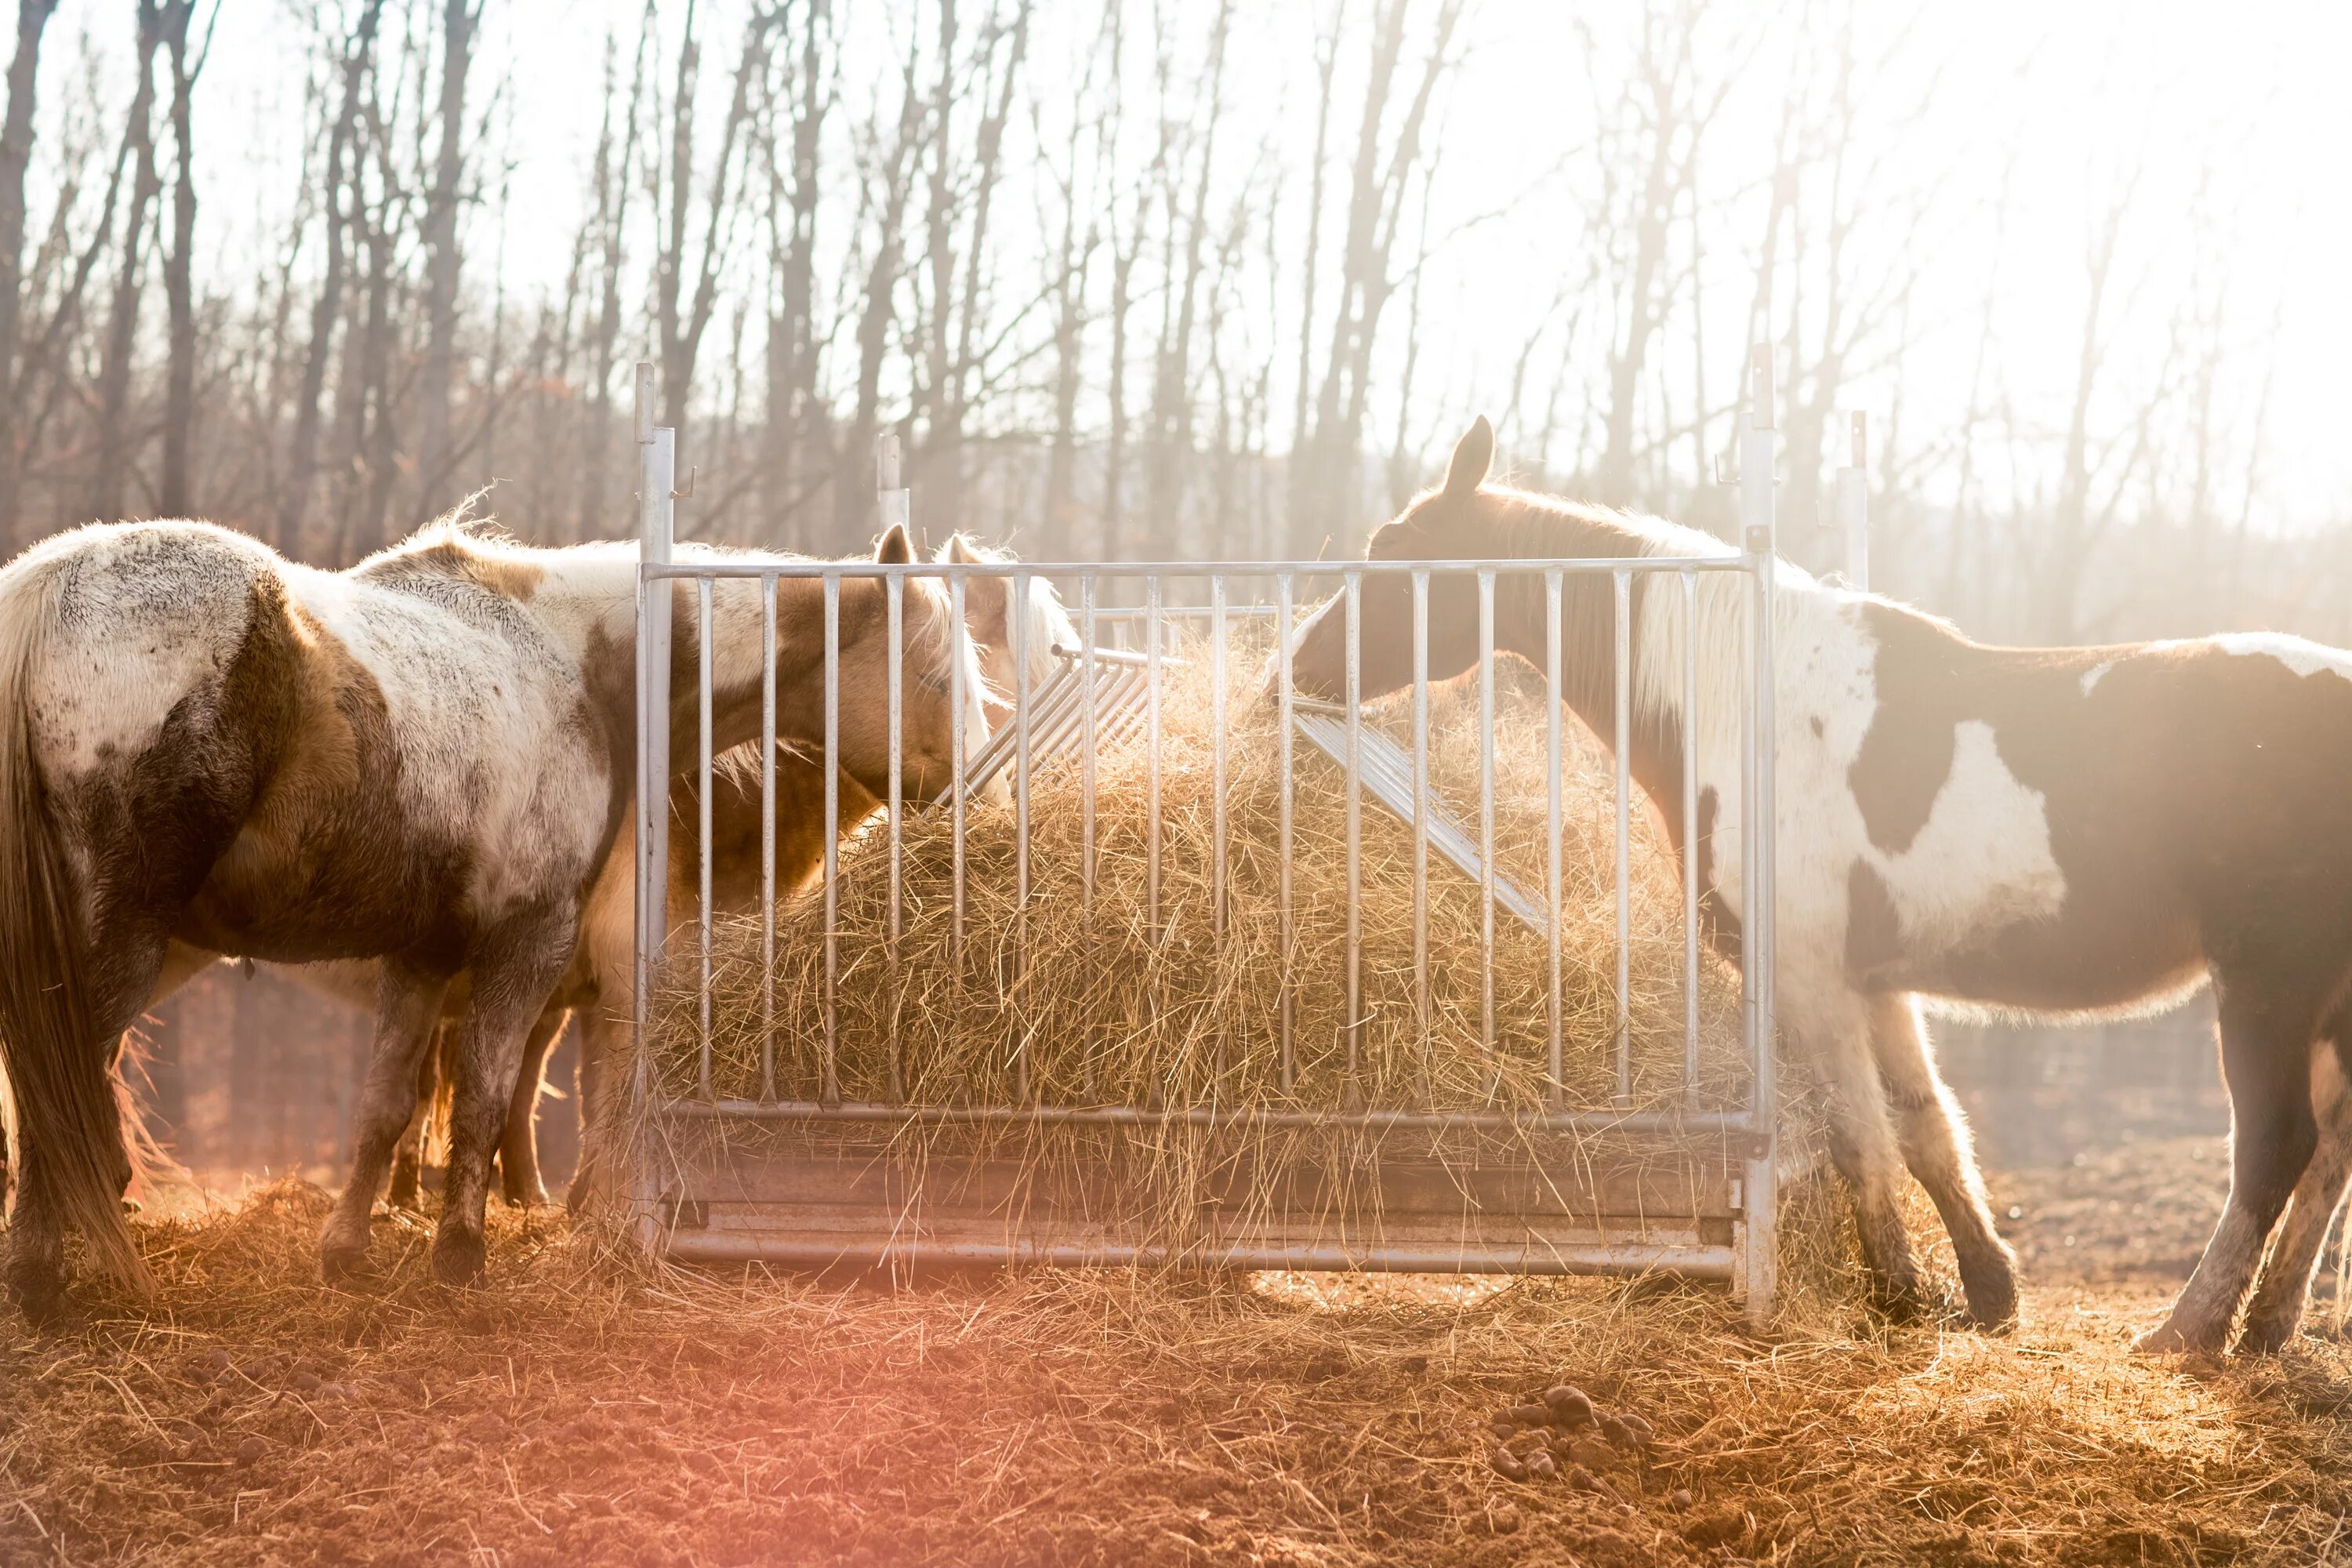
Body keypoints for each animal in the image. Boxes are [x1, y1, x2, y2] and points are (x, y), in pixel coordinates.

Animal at [0, 517, 983, 1326]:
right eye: (938, 677)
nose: (979, 795)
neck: (579, 667)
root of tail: (51, 585)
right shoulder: (529, 943)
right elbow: (485, 1094)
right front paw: (462, 1255)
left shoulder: (425, 955)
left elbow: (386, 1106)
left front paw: (348, 1250)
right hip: (127, 943)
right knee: (61, 1091)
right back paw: (45, 1272)